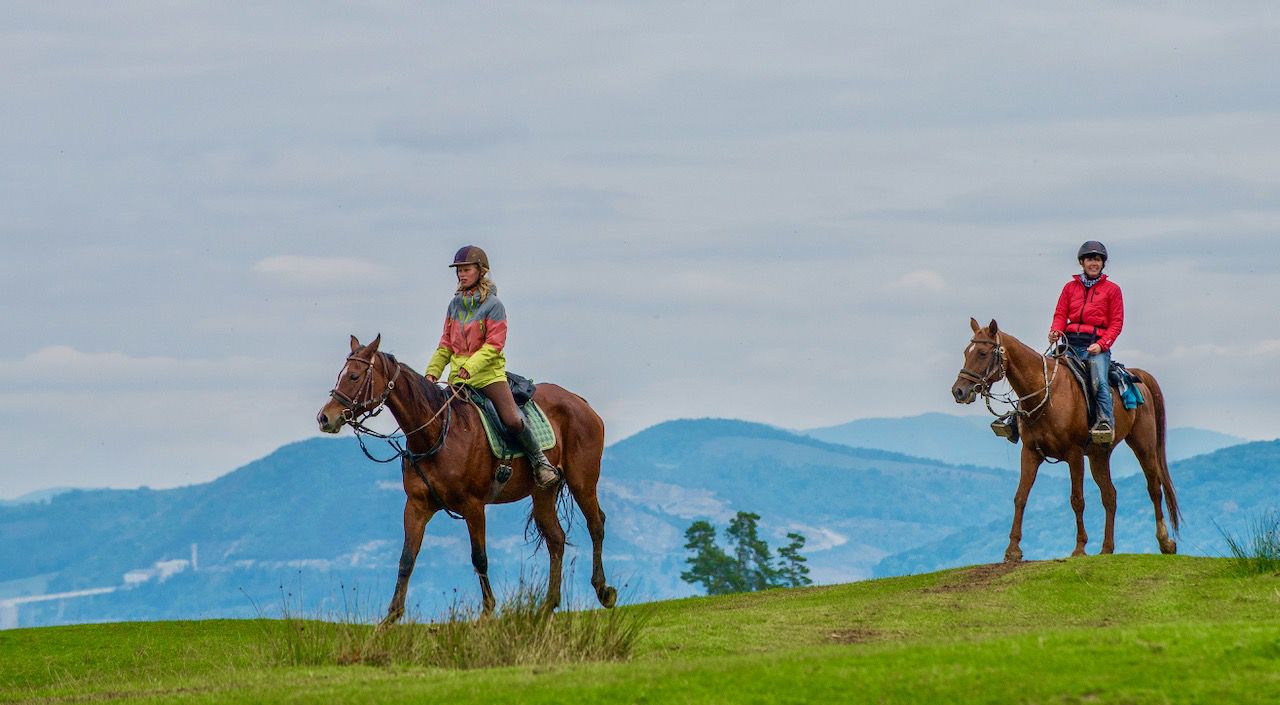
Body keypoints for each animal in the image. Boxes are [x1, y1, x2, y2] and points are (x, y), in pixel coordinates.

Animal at [320, 337, 619, 624]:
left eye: (354, 376)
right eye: (340, 375)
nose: (325, 417)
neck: (437, 432)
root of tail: (580, 401)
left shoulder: (473, 506)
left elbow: (480, 558)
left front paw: (486, 613)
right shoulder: (416, 506)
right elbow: (406, 560)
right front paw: (390, 619)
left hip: (582, 481)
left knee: (596, 525)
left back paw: (603, 591)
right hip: (543, 492)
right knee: (556, 539)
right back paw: (546, 608)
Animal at [952, 319, 1177, 562]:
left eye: (983, 353)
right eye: (966, 352)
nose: (958, 391)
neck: (1046, 395)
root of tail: (1137, 376)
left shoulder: (1074, 453)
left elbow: (1077, 499)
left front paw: (1079, 548)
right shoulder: (1029, 452)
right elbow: (1020, 497)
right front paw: (1012, 550)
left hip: (1144, 446)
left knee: (1154, 488)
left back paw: (1165, 542)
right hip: (1099, 455)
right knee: (1110, 495)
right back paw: (1106, 548)